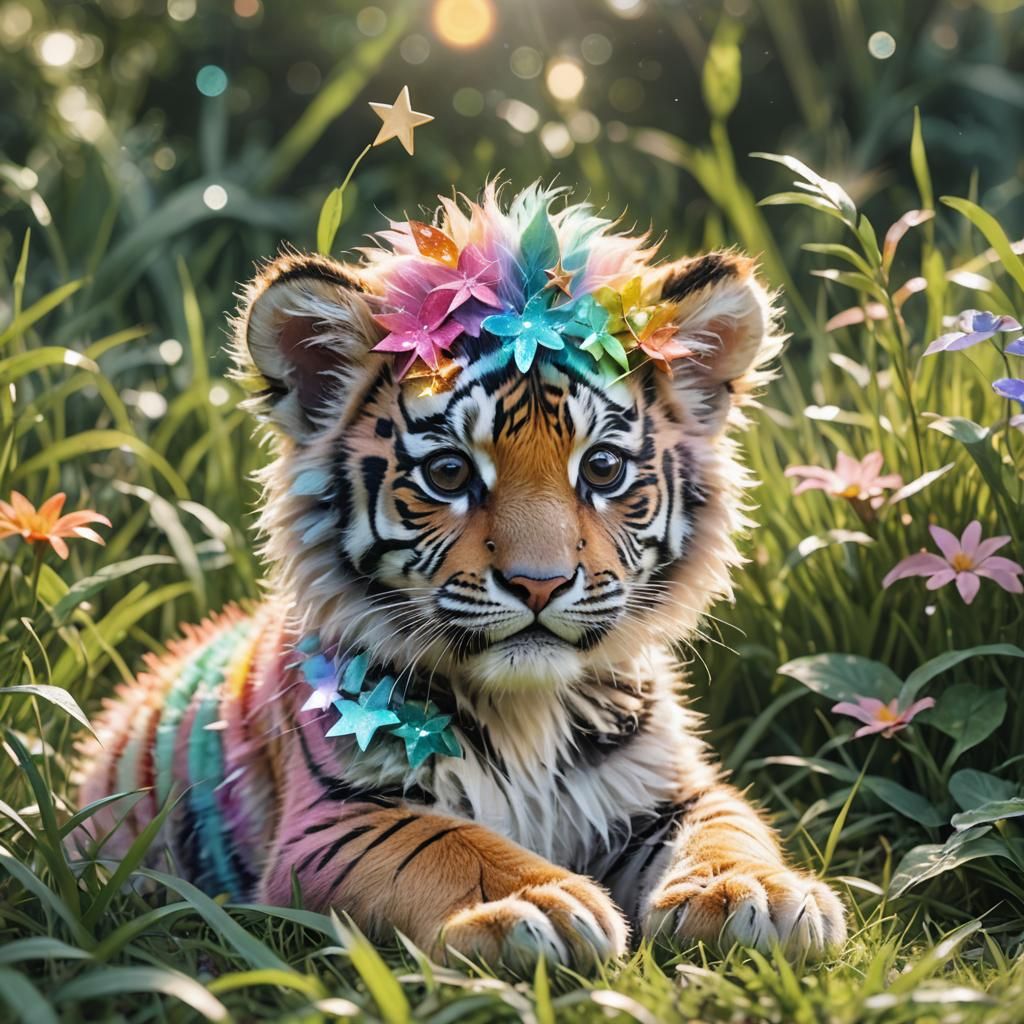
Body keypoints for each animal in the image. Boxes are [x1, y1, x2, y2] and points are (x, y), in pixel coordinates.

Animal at [74, 183, 847, 973]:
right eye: (449, 474)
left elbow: (727, 825)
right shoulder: (336, 819)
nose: (539, 583)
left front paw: (750, 892)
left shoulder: (673, 788)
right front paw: (534, 904)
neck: (529, 714)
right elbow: (442, 844)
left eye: (602, 468)